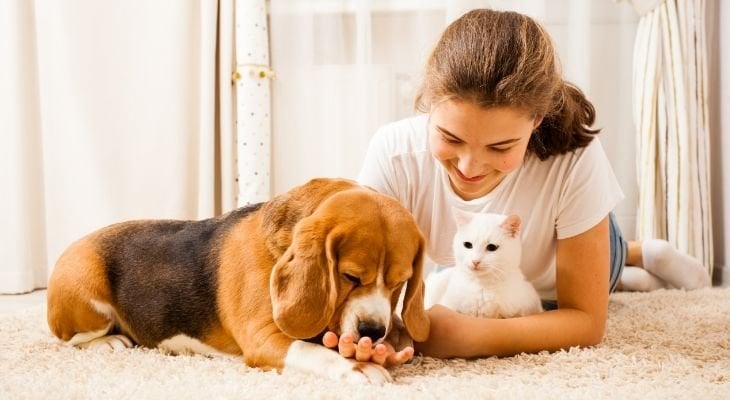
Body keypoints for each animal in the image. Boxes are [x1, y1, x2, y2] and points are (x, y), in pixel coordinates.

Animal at [45, 177, 430, 382]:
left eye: (398, 282)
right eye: (350, 276)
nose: (372, 332)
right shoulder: (263, 339)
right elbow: (313, 351)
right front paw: (358, 367)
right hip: (85, 292)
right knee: (70, 340)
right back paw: (109, 342)